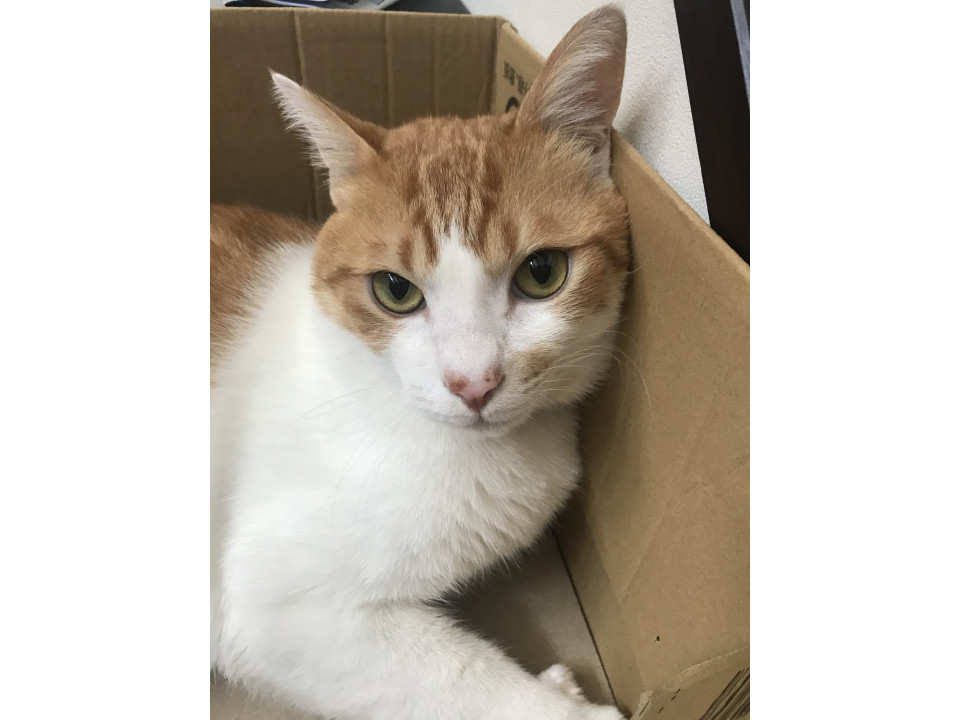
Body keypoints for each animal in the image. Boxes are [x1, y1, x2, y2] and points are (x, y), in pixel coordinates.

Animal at [211, 6, 630, 720]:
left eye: (542, 273)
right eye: (394, 290)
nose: (474, 382)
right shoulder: (277, 612)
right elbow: (457, 675)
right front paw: (566, 703)